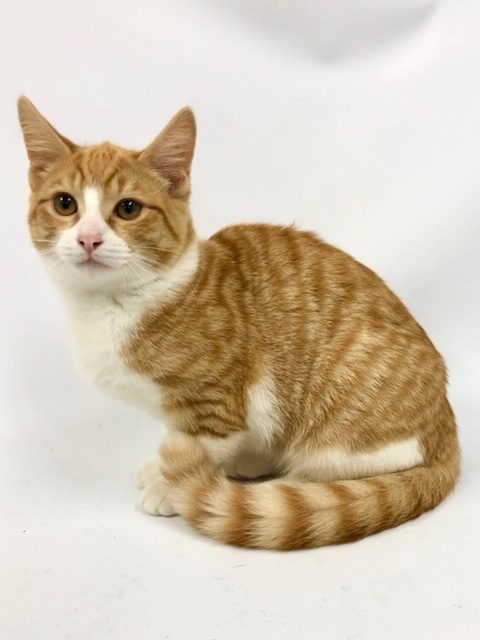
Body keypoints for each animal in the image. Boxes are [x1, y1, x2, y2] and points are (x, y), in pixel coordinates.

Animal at [18, 96, 460, 550]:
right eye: (65, 204)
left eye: (128, 208)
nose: (89, 239)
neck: (114, 304)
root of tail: (445, 424)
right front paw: (161, 466)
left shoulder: (220, 400)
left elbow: (204, 442)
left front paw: (170, 486)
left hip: (343, 414)